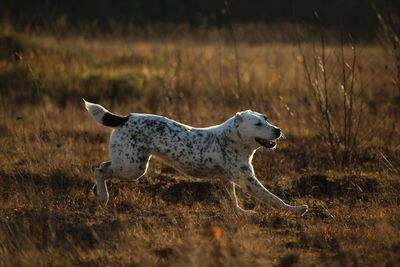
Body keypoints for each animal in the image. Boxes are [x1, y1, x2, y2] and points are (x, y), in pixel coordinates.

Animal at [83, 99, 310, 217]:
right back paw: (103, 197)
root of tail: (125, 118)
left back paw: (98, 192)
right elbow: (274, 199)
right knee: (99, 170)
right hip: (133, 168)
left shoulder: (227, 179)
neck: (232, 139)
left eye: (266, 119)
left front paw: (240, 212)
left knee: (103, 166)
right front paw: (296, 209)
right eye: (258, 124)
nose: (279, 130)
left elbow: (233, 200)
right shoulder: (248, 182)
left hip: (127, 162)